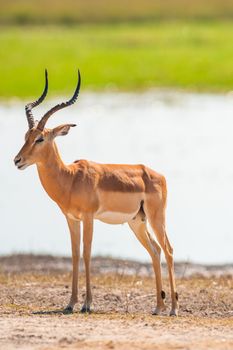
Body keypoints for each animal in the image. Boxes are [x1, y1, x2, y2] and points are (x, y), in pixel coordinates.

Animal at [14, 69, 178, 316]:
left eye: (40, 138)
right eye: (26, 136)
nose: (17, 160)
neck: (70, 178)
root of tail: (157, 175)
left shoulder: (89, 217)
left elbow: (87, 253)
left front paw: (87, 304)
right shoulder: (71, 218)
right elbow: (74, 254)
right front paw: (70, 303)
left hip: (156, 218)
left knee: (168, 249)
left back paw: (174, 309)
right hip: (136, 222)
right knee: (155, 251)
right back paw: (158, 307)